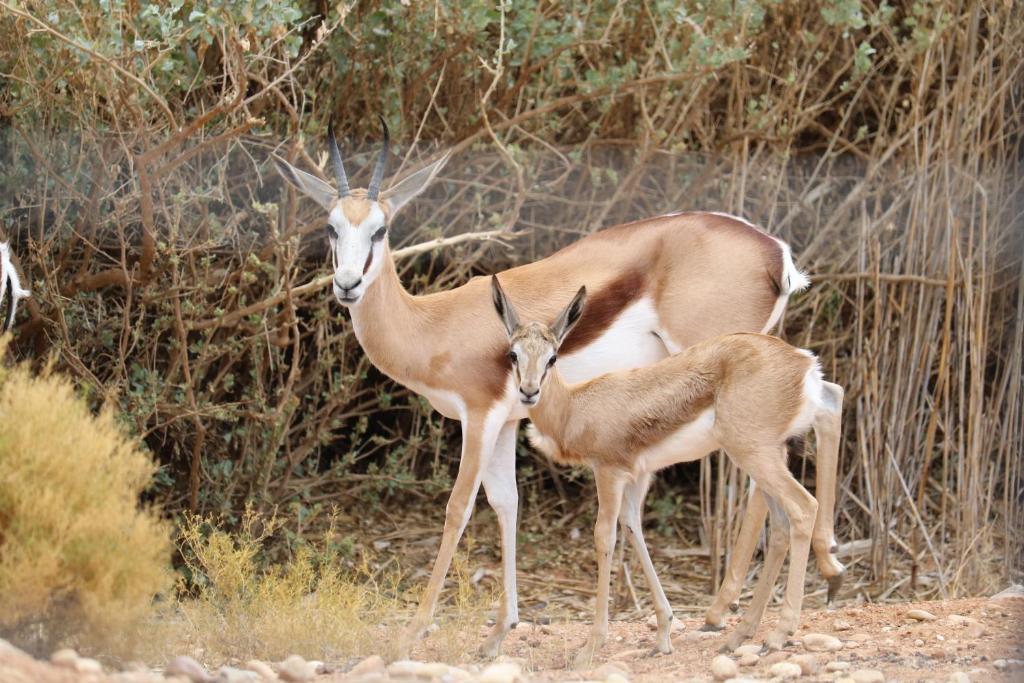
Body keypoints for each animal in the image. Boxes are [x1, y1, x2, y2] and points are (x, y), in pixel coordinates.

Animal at [491, 274, 843, 663]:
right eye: (513, 354)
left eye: (552, 357)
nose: (528, 391)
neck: (575, 407)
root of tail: (802, 362)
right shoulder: (639, 476)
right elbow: (634, 529)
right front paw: (663, 634)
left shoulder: (609, 472)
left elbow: (604, 537)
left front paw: (592, 646)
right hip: (769, 454)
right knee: (784, 515)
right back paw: (747, 631)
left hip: (754, 454)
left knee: (803, 506)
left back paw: (781, 630)